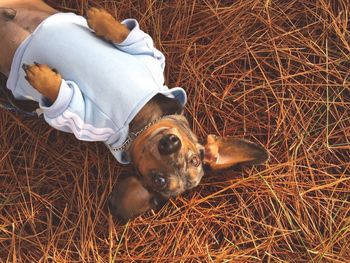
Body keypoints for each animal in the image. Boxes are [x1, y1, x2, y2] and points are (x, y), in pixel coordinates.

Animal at [0, 0, 268, 221]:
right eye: (193, 158)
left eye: (160, 180)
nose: (170, 144)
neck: (141, 119)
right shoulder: (151, 57)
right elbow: (131, 37)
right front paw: (101, 19)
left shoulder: (87, 120)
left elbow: (62, 100)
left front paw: (43, 78)